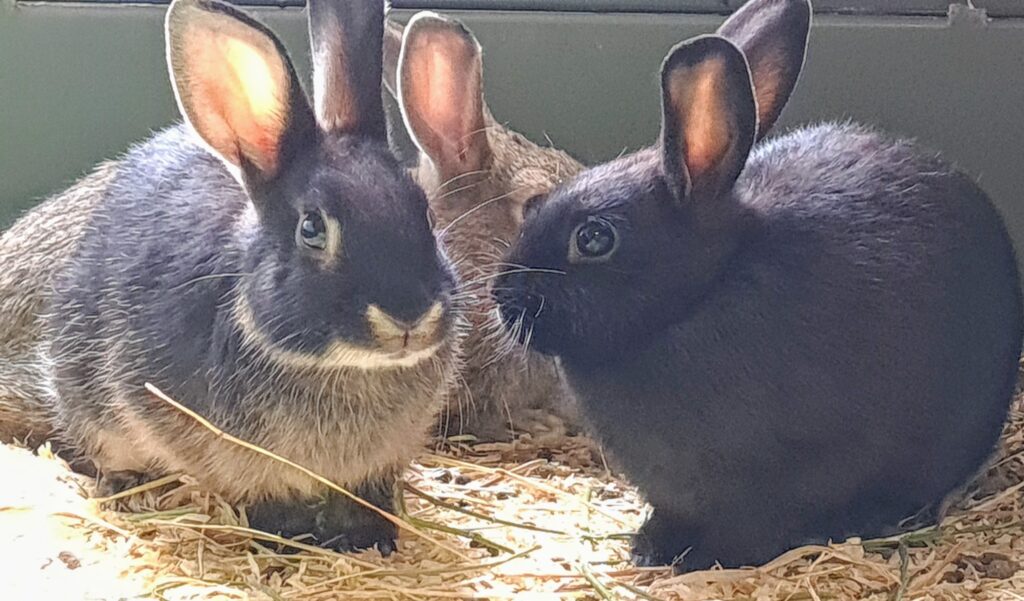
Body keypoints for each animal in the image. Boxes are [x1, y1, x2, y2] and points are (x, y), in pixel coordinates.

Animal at [27, 0, 462, 554]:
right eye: (311, 228)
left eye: (424, 211)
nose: (408, 316)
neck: (351, 367)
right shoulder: (235, 460)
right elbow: (263, 501)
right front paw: (288, 537)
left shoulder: (380, 463)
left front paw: (374, 536)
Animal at [493, 0, 1023, 573]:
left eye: (593, 238)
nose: (502, 298)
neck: (697, 298)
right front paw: (650, 546)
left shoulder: (787, 479)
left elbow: (750, 529)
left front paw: (700, 559)